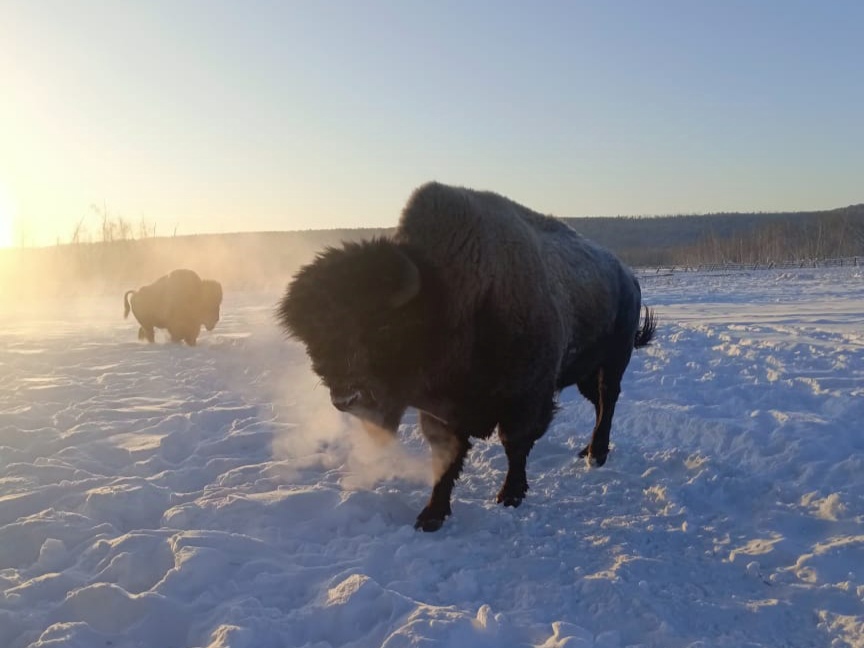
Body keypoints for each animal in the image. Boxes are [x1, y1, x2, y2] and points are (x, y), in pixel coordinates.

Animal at [276, 182, 656, 532]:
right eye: (313, 342)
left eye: (382, 326)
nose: (346, 399)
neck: (449, 296)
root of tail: (628, 276)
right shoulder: (441, 413)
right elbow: (445, 456)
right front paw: (432, 515)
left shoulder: (527, 397)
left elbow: (514, 444)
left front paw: (510, 496)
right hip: (583, 372)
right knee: (598, 403)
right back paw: (585, 450)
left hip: (613, 361)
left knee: (608, 399)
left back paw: (597, 454)